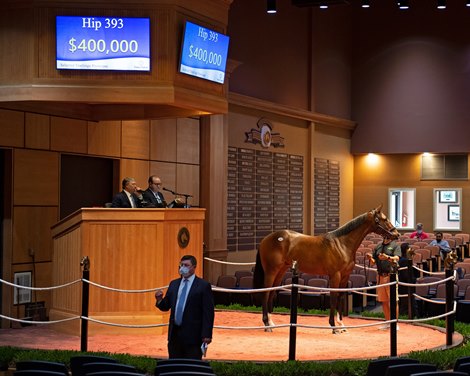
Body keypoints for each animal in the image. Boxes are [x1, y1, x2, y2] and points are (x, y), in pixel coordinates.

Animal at [255, 204, 398, 334]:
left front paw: (342, 325)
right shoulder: (335, 275)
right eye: (384, 218)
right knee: (265, 293)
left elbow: (341, 297)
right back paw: (266, 324)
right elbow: (334, 297)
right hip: (271, 271)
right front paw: (334, 327)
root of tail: (265, 240)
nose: (396, 234)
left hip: (280, 271)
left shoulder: (345, 276)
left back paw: (271, 323)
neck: (342, 244)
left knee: (272, 292)